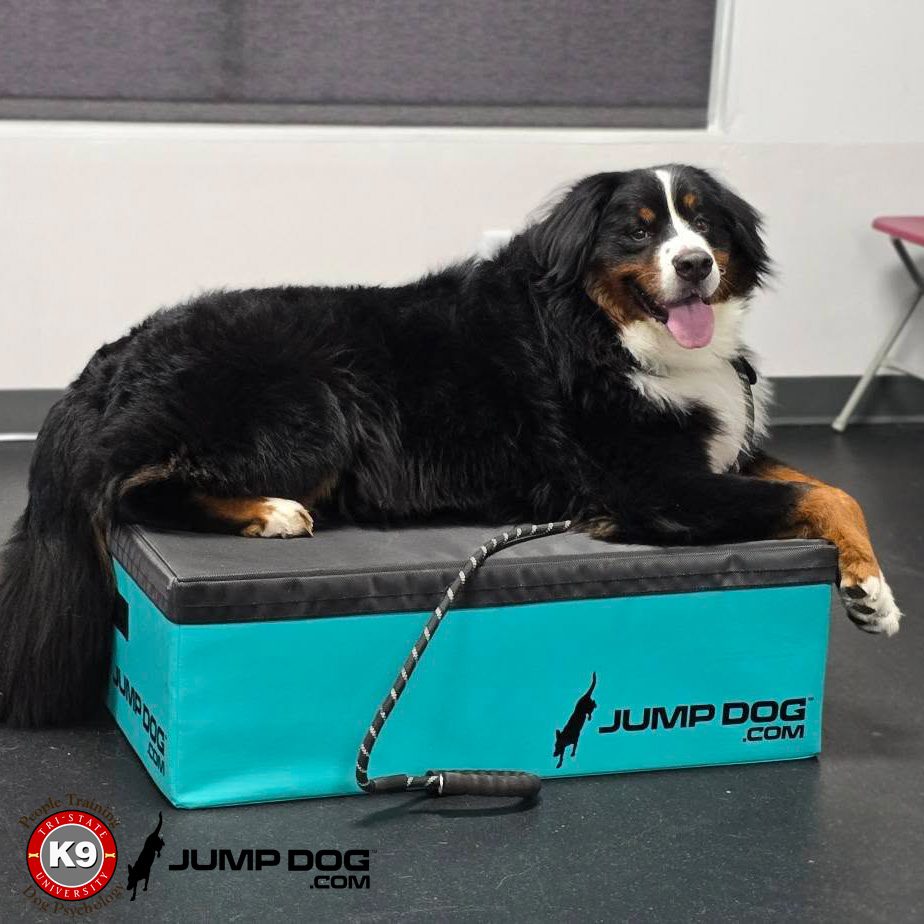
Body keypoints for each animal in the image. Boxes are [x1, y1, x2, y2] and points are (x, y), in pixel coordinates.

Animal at [0, 164, 902, 727]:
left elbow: (837, 490)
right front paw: (870, 591)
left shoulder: (720, 454)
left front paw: (871, 592)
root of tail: (113, 357)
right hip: (315, 403)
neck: (608, 333)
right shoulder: (652, 485)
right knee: (133, 492)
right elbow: (803, 492)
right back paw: (270, 512)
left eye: (705, 221)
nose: (694, 264)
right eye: (638, 230)